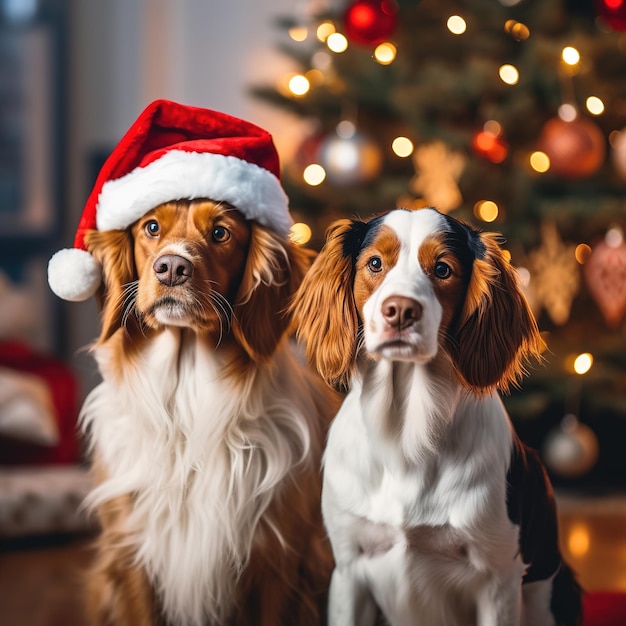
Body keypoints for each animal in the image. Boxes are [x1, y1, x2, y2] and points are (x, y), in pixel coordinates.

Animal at [290, 206, 584, 624]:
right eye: (375, 263)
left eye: (443, 269)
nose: (400, 311)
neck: (405, 433)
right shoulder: (349, 567)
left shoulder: (498, 578)